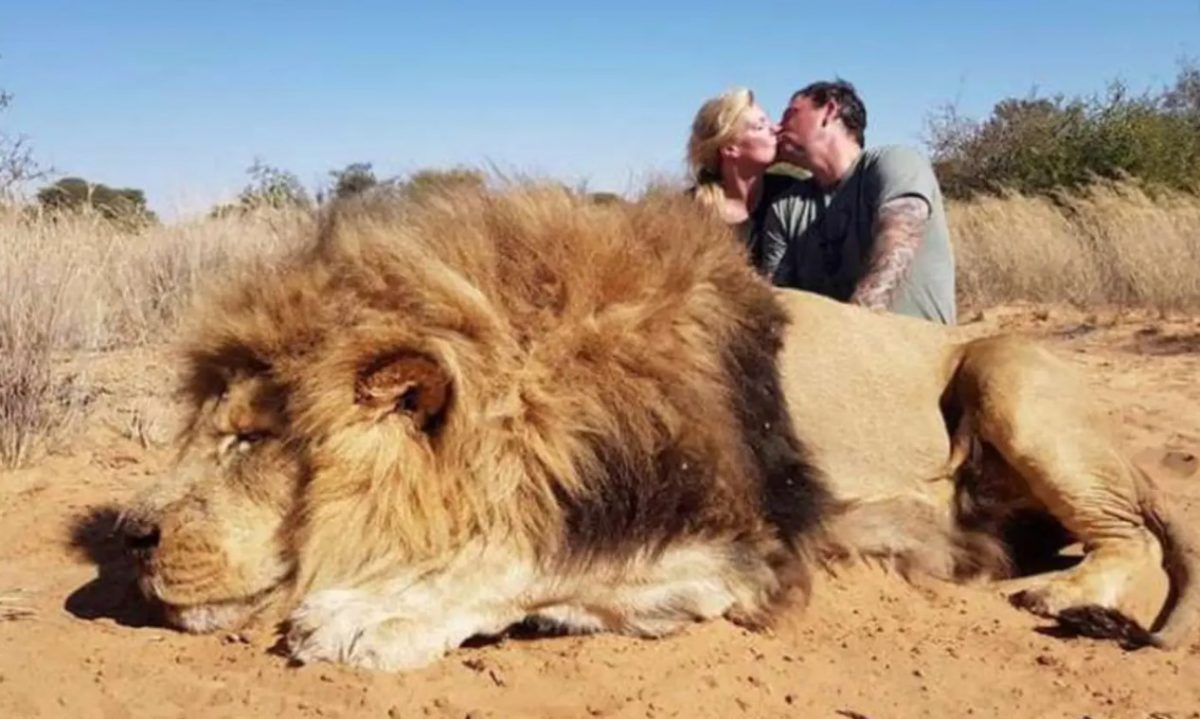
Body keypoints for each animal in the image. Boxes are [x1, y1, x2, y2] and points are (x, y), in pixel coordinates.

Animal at [117, 184, 1195, 667]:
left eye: (252, 437)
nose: (132, 535)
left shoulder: (755, 540)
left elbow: (530, 554)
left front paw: (374, 614)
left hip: (1006, 367)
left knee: (1133, 536)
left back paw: (1068, 595)